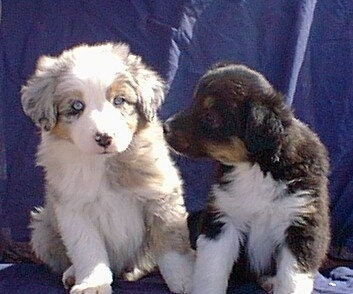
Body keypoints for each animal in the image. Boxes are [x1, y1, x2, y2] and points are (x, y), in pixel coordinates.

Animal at [20, 43, 192, 294]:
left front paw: (188, 279)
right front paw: (92, 285)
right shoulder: (73, 209)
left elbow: (171, 244)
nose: (104, 138)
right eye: (76, 106)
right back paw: (72, 274)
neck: (103, 163)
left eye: (119, 100)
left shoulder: (160, 194)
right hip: (42, 228)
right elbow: (87, 250)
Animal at [163, 63, 330, 292]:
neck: (257, 168)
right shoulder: (223, 219)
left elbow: (292, 281)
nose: (165, 127)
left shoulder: (301, 225)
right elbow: (210, 272)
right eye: (194, 101)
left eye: (211, 117)